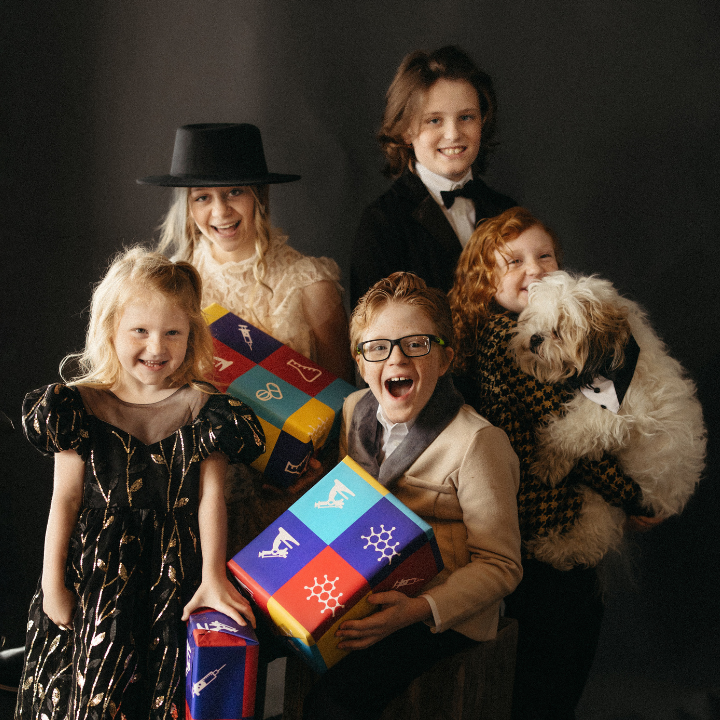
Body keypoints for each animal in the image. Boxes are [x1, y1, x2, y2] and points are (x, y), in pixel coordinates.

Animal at [510, 270, 704, 568]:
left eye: (559, 330)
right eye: (533, 319)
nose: (534, 338)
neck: (610, 370)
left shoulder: (611, 415)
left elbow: (565, 435)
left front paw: (548, 462)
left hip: (607, 507)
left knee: (590, 543)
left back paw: (548, 548)